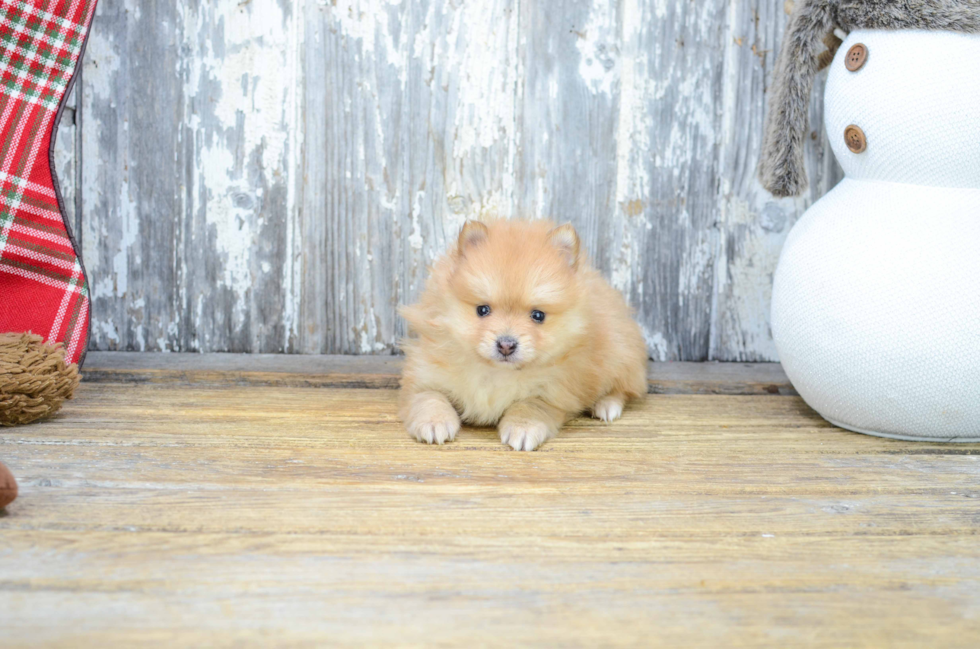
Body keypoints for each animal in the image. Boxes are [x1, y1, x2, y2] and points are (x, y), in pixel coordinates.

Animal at [394, 219, 648, 450]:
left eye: (538, 315)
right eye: (482, 310)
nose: (506, 344)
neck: (498, 373)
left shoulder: (555, 390)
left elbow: (531, 405)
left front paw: (523, 428)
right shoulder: (425, 373)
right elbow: (429, 397)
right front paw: (434, 422)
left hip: (620, 353)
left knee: (625, 387)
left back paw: (607, 405)